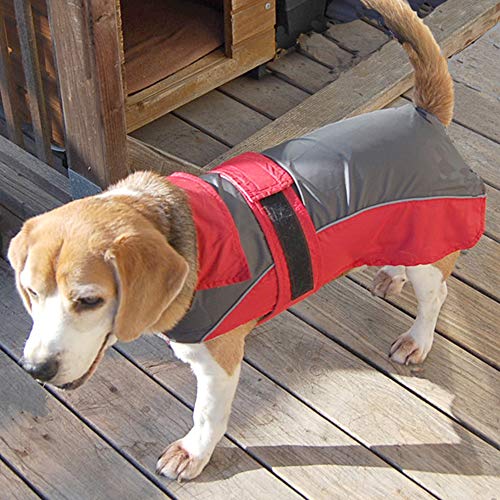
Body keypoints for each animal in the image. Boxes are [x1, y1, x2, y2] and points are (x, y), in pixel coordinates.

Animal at [8, 0, 485, 482]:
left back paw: (417, 338)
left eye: (89, 300)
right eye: (31, 292)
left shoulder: (216, 364)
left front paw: (193, 453)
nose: (35, 369)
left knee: (436, 295)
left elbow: (206, 416)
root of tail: (424, 115)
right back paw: (391, 274)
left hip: (431, 249)